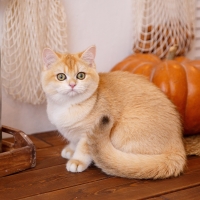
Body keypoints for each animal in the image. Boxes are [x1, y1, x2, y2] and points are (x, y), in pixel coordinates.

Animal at [41, 45, 199, 180]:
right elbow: (74, 141)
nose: (72, 85)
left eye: (81, 75)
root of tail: (178, 146)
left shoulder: (88, 133)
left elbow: (84, 148)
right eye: (61, 76)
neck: (68, 105)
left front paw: (77, 160)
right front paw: (70, 149)